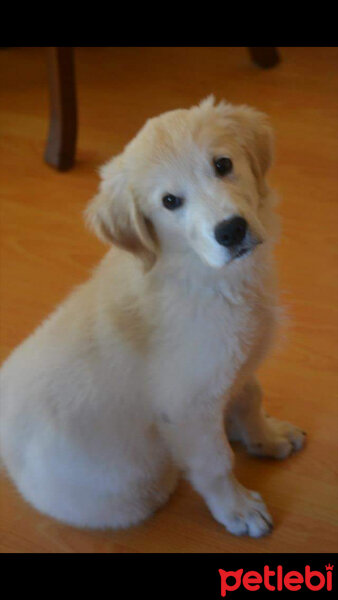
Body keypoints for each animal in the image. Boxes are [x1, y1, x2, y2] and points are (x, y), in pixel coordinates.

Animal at [0, 96, 306, 536]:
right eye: (170, 202)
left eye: (223, 164)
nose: (230, 231)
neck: (207, 275)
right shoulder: (187, 404)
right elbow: (215, 463)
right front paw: (237, 509)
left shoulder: (233, 362)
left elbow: (250, 396)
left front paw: (265, 435)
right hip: (135, 490)